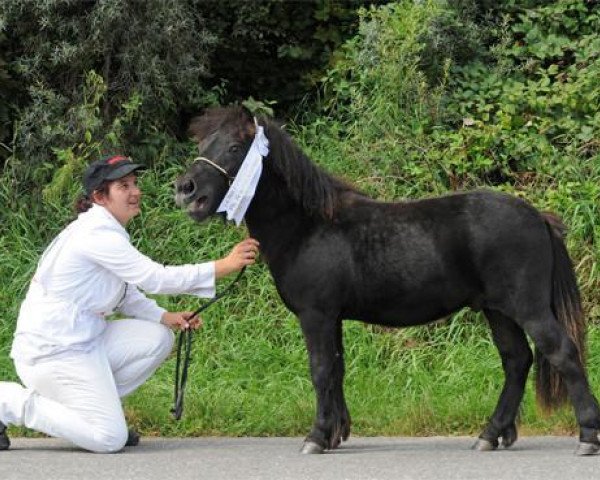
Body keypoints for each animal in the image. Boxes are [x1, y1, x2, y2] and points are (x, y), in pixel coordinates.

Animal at [176, 107, 600, 456]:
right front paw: (336, 433)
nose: (185, 190)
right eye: (202, 143)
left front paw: (316, 437)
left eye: (234, 147)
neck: (308, 226)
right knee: (516, 361)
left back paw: (587, 436)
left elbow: (320, 370)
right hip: (498, 311)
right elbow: (336, 369)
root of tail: (538, 217)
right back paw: (490, 434)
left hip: (527, 307)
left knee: (561, 352)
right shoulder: (333, 318)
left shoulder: (316, 315)